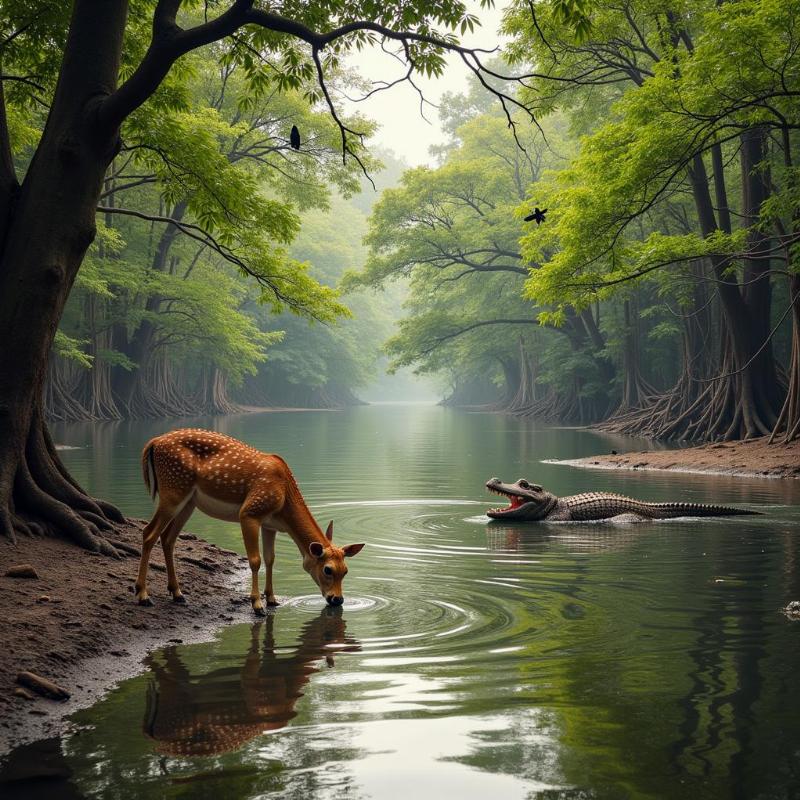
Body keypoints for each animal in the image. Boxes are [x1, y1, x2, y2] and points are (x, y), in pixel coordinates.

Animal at [138, 432, 366, 612]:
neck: (284, 499)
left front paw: (272, 599)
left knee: (168, 538)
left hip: (188, 502)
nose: (337, 600)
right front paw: (257, 605)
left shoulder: (270, 525)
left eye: (346, 570)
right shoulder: (249, 512)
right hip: (173, 488)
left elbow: (270, 559)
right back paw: (142, 595)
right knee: (149, 533)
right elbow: (255, 560)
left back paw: (177, 593)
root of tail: (153, 442)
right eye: (328, 569)